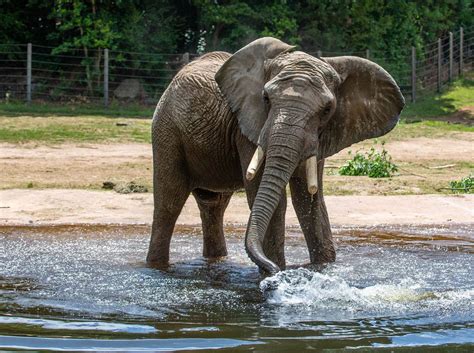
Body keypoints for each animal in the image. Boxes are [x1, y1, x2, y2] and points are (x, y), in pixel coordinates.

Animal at [147, 37, 404, 274]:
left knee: (213, 206)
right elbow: (276, 200)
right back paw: (156, 266)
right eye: (266, 99)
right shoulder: (249, 128)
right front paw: (274, 273)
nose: (271, 269)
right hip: (166, 128)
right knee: (169, 202)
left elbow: (310, 201)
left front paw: (321, 268)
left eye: (327, 110)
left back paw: (216, 260)